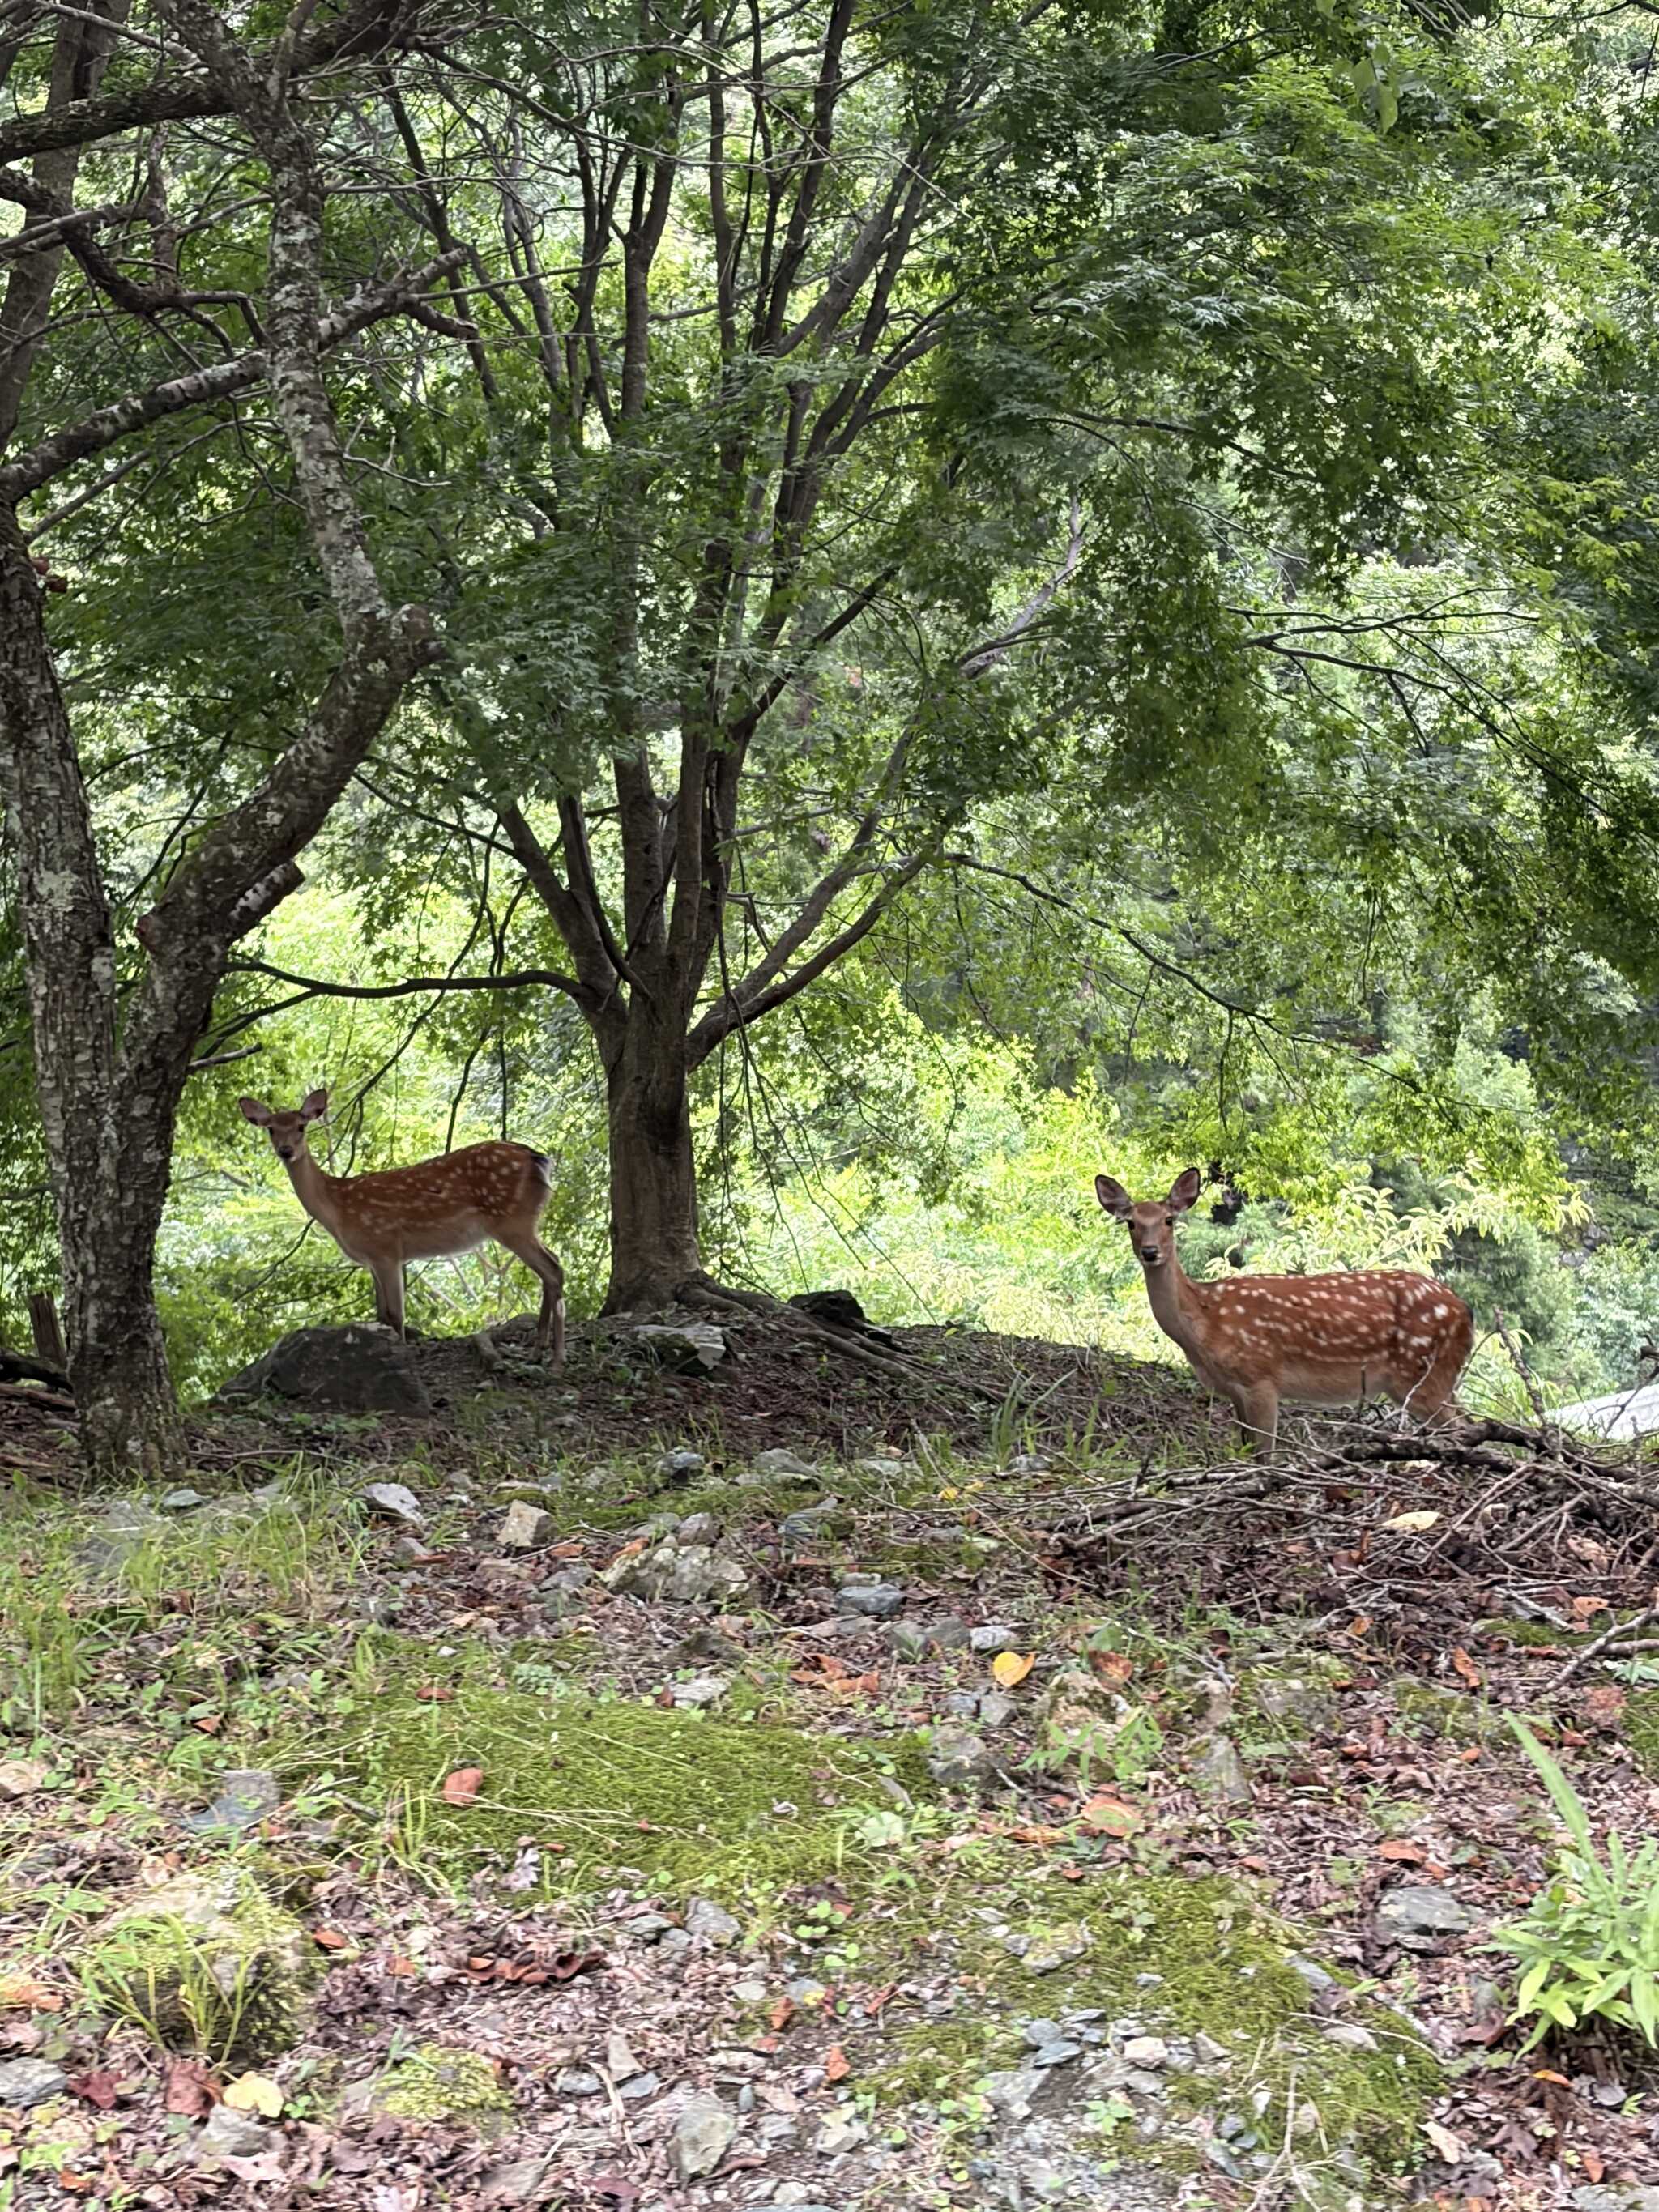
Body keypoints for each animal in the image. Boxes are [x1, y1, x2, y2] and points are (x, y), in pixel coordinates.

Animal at [239, 1090, 565, 1366]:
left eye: (301, 1127)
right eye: (270, 1128)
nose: (285, 1151)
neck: (337, 1208)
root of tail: (539, 1159)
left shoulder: (386, 1247)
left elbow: (396, 1315)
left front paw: (401, 1359)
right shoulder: (371, 1259)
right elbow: (381, 1315)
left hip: (511, 1220)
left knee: (552, 1269)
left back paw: (557, 1359)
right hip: (525, 1221)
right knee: (552, 1266)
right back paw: (538, 1351)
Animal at [1095, 1167, 1473, 1455]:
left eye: (1169, 1220)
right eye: (1130, 1223)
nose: (1150, 1251)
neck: (1204, 1323)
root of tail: (1465, 1313)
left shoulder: (1260, 1377)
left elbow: (1266, 1455)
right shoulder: (1232, 1389)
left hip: (1423, 1372)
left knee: (1464, 1428)